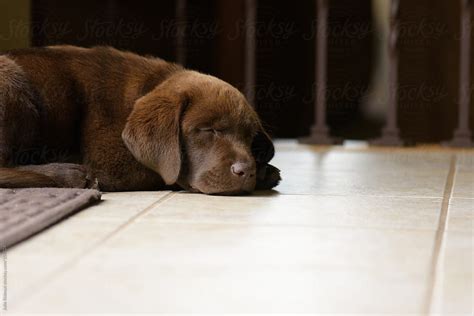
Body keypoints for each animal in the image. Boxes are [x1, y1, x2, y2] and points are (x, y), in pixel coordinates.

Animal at [0, 45, 280, 194]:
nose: (246, 171)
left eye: (249, 138)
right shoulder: (108, 162)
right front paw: (264, 172)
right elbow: (169, 173)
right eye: (207, 130)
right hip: (12, 82)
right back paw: (67, 174)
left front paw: (263, 170)